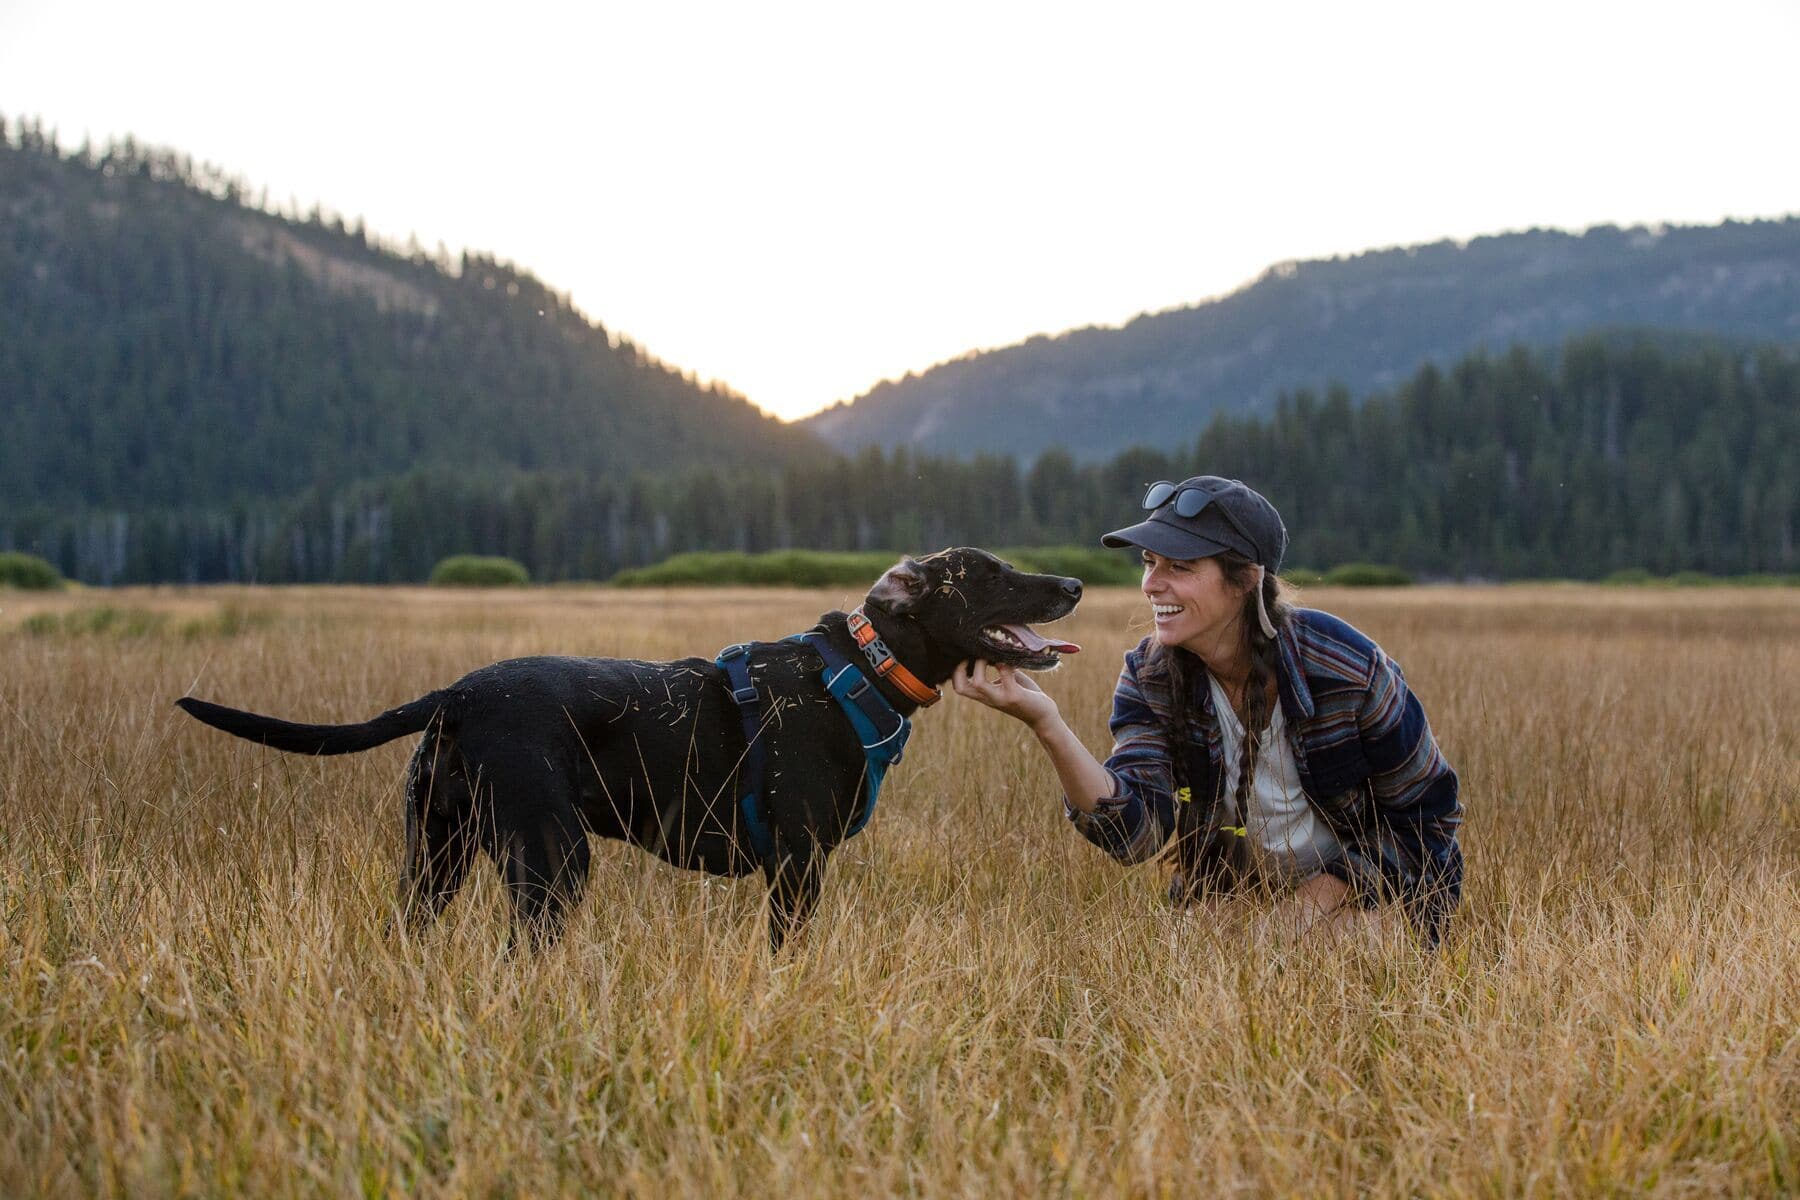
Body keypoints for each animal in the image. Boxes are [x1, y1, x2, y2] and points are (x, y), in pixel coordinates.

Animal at [179, 550, 1080, 949]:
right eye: (988, 572)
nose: (1072, 583)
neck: (861, 669)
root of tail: (457, 696)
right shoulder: (796, 865)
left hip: (436, 855)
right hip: (550, 860)